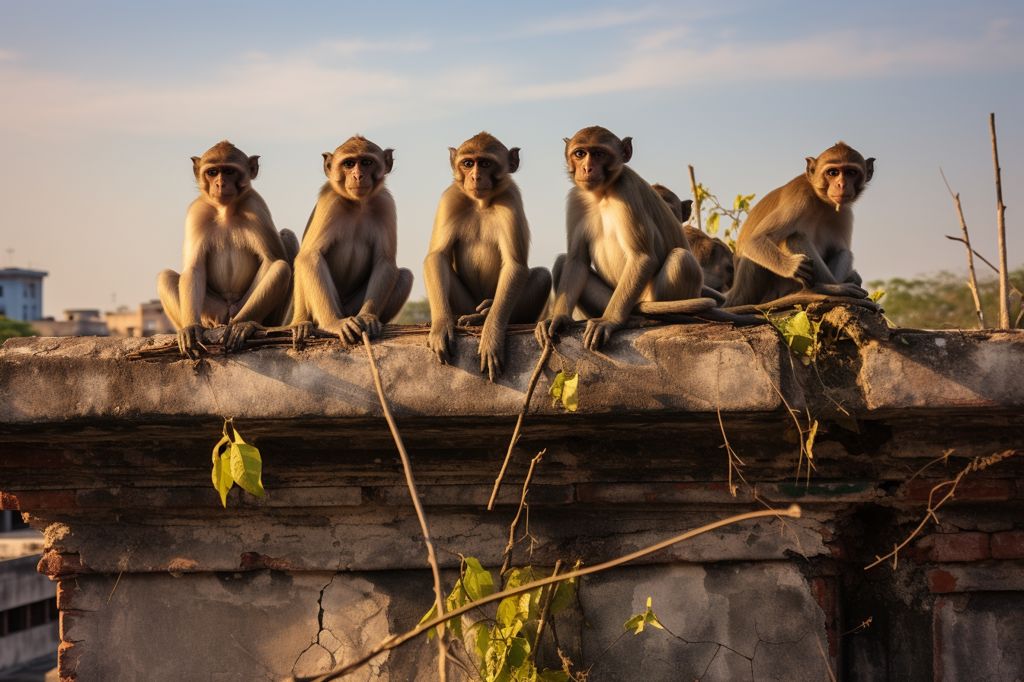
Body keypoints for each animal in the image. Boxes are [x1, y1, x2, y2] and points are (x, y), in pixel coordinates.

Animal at [158, 140, 297, 359]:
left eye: (229, 171)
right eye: (213, 172)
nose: (220, 184)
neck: (225, 210)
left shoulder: (256, 206)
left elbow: (273, 259)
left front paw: (244, 325)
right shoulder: (197, 212)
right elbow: (194, 268)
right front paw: (190, 328)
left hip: (241, 308)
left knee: (285, 252)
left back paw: (245, 323)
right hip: (214, 311)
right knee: (165, 277)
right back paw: (206, 326)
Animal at [290, 136, 413, 345]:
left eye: (366, 162)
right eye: (348, 164)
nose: (358, 176)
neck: (358, 204)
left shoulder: (385, 202)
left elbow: (385, 261)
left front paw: (367, 316)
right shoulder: (329, 201)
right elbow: (309, 256)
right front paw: (333, 323)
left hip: (351, 307)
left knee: (405, 275)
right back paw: (304, 322)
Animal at [424, 132, 551, 381]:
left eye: (484, 163)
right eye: (467, 163)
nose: (475, 177)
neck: (481, 203)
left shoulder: (510, 198)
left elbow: (515, 265)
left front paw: (491, 335)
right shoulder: (450, 198)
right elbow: (437, 256)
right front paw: (441, 324)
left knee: (542, 275)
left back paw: (481, 316)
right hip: (466, 303)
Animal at [536, 127, 716, 351]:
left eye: (599, 154)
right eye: (580, 154)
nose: (587, 168)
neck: (601, 194)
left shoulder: (627, 189)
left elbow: (642, 257)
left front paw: (609, 321)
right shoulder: (577, 197)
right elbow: (577, 259)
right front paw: (558, 318)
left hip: (647, 297)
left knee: (681, 258)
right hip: (609, 298)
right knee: (563, 262)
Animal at [724, 142, 875, 309]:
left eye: (851, 172)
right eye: (833, 172)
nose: (841, 184)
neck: (820, 200)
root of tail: (734, 296)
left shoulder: (844, 212)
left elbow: (840, 250)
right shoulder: (799, 199)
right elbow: (754, 240)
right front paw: (792, 267)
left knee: (844, 252)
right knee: (793, 237)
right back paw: (825, 288)